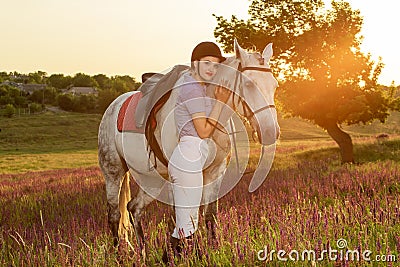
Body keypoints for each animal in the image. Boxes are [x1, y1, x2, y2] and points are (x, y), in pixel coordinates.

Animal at [97, 39, 280, 249]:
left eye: (275, 85)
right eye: (249, 84)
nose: (271, 132)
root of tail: (114, 105)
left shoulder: (215, 173)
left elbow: (208, 215)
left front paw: (212, 249)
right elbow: (178, 219)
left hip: (152, 180)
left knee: (134, 209)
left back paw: (142, 252)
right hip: (113, 173)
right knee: (114, 214)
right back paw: (119, 252)